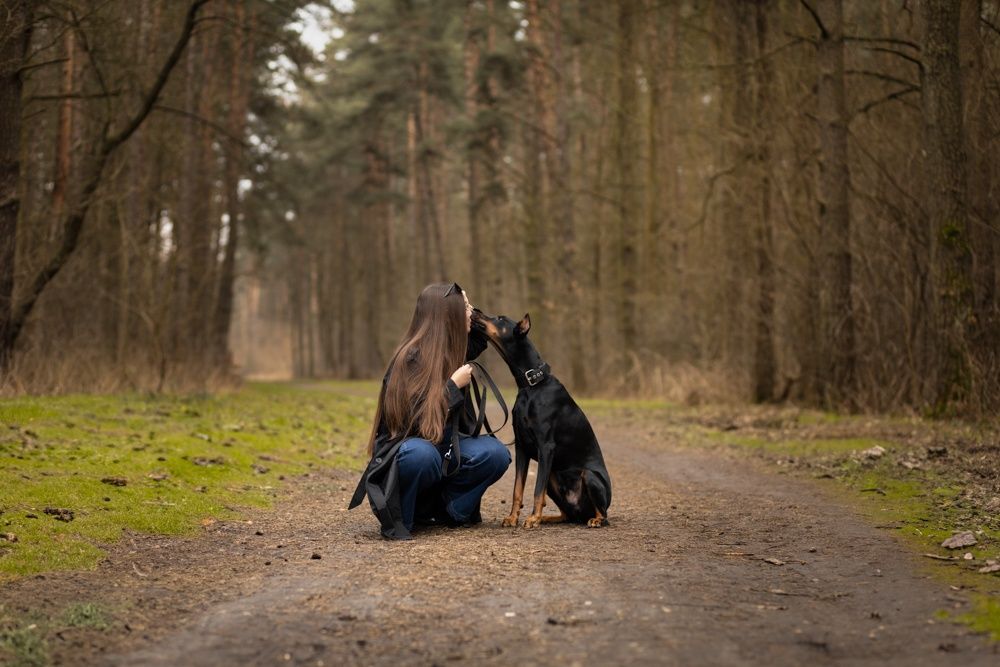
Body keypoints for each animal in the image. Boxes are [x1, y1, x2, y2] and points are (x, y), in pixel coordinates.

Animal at [470, 312, 608, 528]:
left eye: (500, 318)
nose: (475, 310)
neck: (531, 385)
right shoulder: (521, 447)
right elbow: (518, 489)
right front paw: (513, 518)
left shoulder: (546, 446)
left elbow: (536, 490)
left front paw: (532, 518)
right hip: (553, 477)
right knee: (566, 514)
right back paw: (547, 518)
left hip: (588, 476)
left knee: (603, 513)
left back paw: (594, 519)